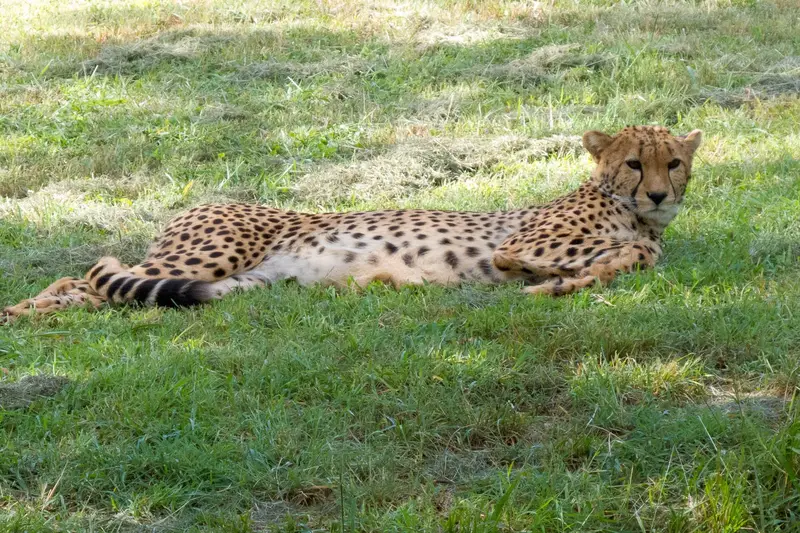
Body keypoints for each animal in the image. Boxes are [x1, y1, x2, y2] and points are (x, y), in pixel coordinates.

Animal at [1, 126, 702, 324]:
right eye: (635, 162)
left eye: (673, 162)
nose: (659, 194)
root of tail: (197, 204)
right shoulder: (526, 235)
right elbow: (626, 255)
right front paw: (540, 274)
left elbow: (631, 260)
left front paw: (564, 284)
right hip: (206, 257)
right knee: (87, 276)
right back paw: (21, 312)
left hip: (233, 285)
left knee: (106, 290)